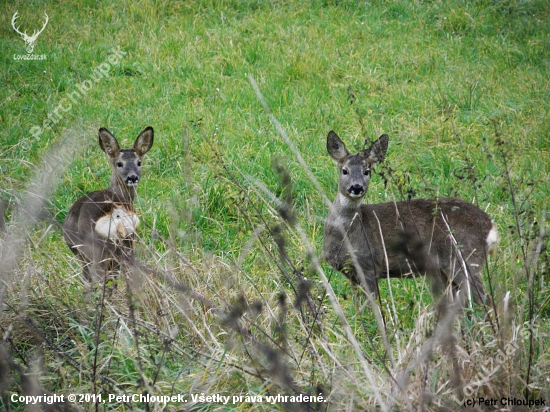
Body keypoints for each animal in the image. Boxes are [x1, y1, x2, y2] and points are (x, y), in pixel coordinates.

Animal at [63, 127, 154, 282]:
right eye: (119, 163)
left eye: (139, 162)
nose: (132, 177)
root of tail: (116, 213)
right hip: (128, 242)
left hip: (96, 251)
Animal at [324, 132, 500, 306]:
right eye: (344, 170)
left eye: (367, 171)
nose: (356, 187)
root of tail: (490, 226)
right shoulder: (352, 273)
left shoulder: (369, 265)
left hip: (465, 259)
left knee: (487, 301)